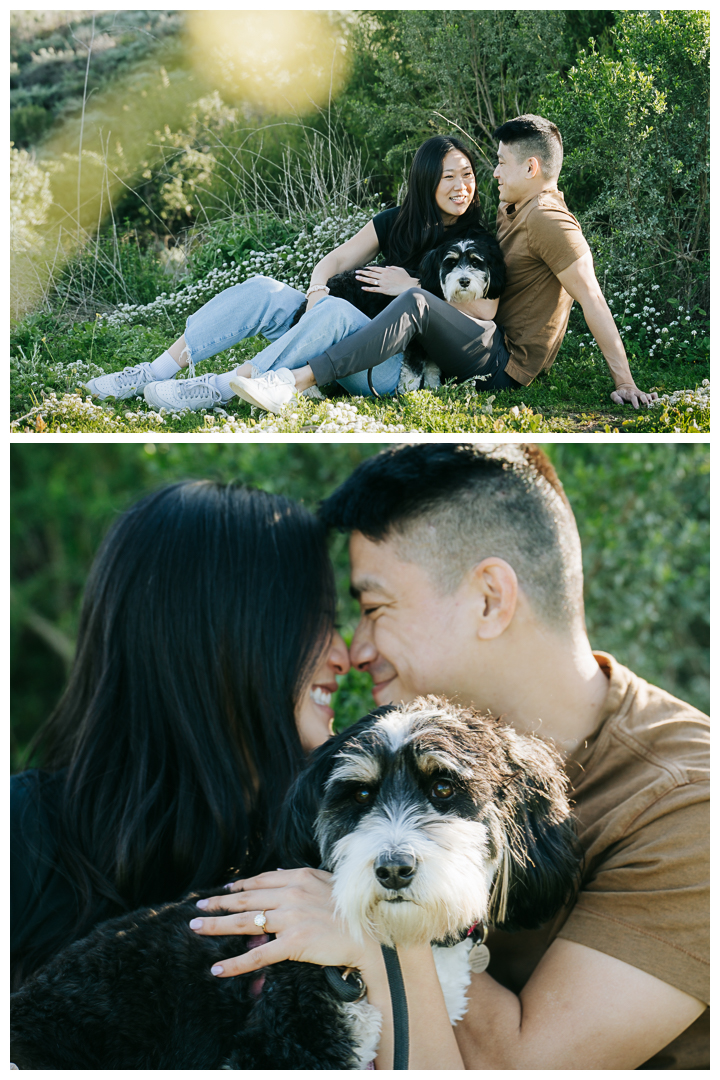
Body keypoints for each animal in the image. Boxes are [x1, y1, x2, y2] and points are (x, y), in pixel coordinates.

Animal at [289, 227, 507, 393]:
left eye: (476, 262)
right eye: (450, 263)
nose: (464, 281)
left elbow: (432, 369)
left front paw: (433, 388)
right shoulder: (415, 341)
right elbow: (413, 371)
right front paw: (409, 392)